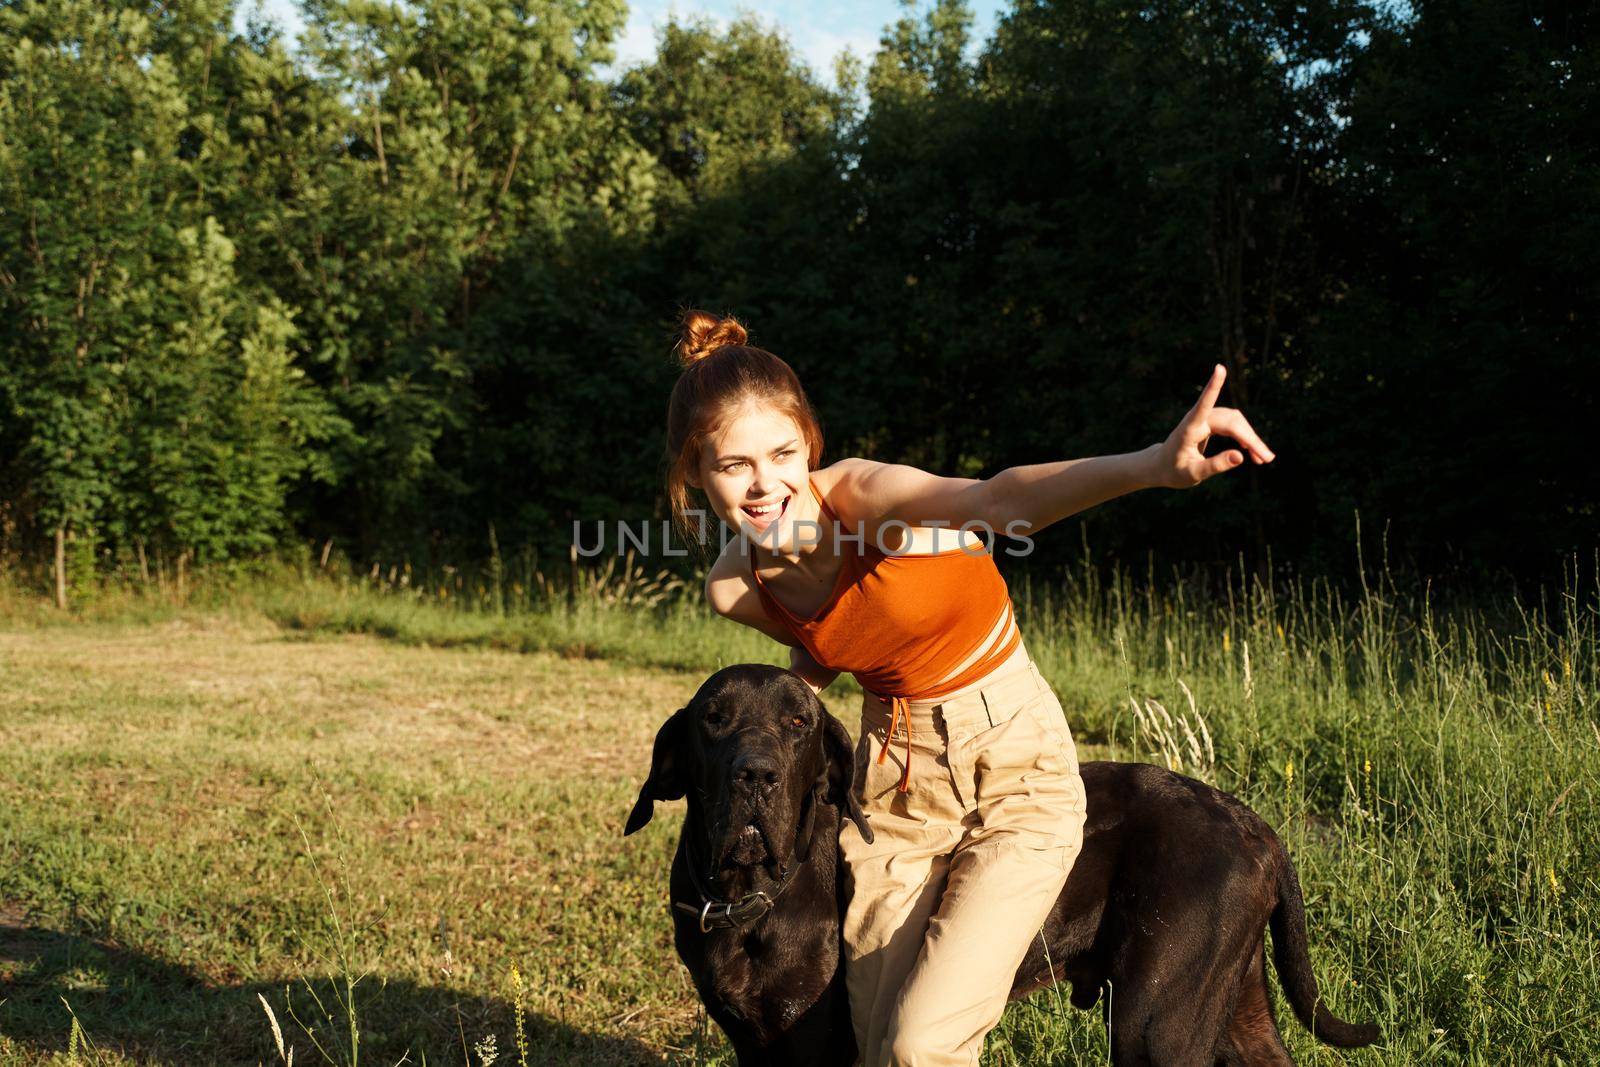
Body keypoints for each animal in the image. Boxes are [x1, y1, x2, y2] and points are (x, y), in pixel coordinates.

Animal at [624, 662, 1376, 1062]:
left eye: (799, 723)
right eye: (713, 719)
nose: (756, 774)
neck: (749, 897)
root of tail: (1255, 825)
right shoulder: (753, 1041)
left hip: (1156, 1020)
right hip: (1232, 1004)